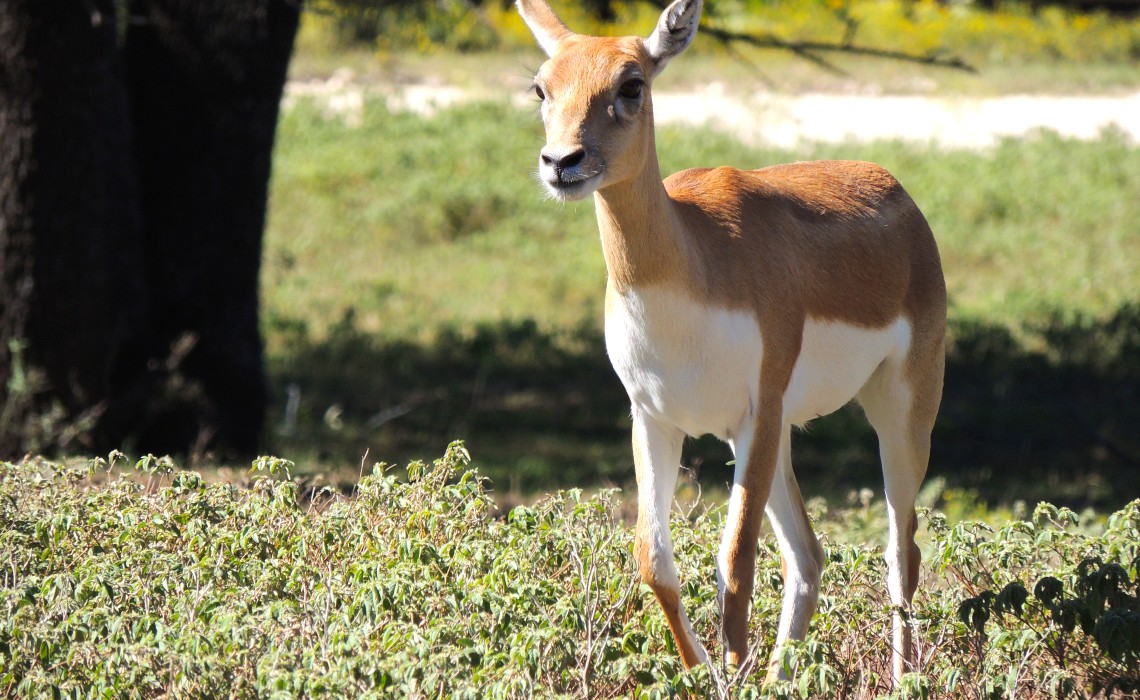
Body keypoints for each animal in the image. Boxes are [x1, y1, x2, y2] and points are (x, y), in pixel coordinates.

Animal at [522, 0, 948, 684]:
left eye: (631, 85)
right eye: (542, 86)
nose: (563, 163)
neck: (692, 264)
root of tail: (898, 193)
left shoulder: (758, 411)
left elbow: (735, 561)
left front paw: (730, 671)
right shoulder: (654, 417)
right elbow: (655, 559)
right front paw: (705, 676)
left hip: (899, 411)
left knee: (900, 551)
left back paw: (900, 679)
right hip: (771, 438)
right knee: (809, 553)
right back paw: (779, 678)